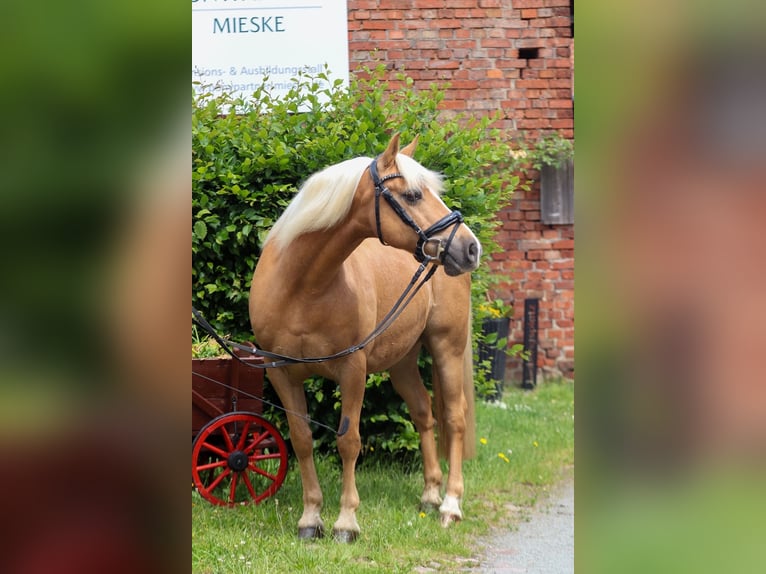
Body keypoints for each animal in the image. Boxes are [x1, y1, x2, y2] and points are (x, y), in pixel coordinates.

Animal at [249, 133, 481, 542]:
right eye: (413, 195)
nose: (470, 248)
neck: (302, 288)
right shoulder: (280, 373)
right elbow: (301, 439)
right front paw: (310, 518)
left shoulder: (352, 370)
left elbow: (349, 441)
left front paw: (346, 522)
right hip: (402, 362)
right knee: (423, 414)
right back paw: (430, 494)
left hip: (446, 348)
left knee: (454, 418)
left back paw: (451, 505)